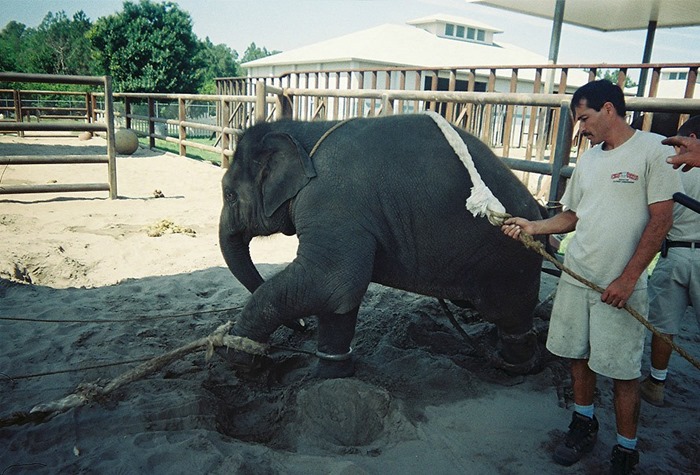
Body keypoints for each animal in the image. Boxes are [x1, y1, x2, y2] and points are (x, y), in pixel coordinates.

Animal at [219, 113, 548, 378]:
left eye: (229, 195)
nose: (302, 326)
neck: (305, 132)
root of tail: (540, 209)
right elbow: (339, 296)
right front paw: (332, 375)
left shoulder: (332, 205)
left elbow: (331, 280)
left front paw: (240, 357)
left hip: (509, 262)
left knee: (509, 316)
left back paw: (516, 367)